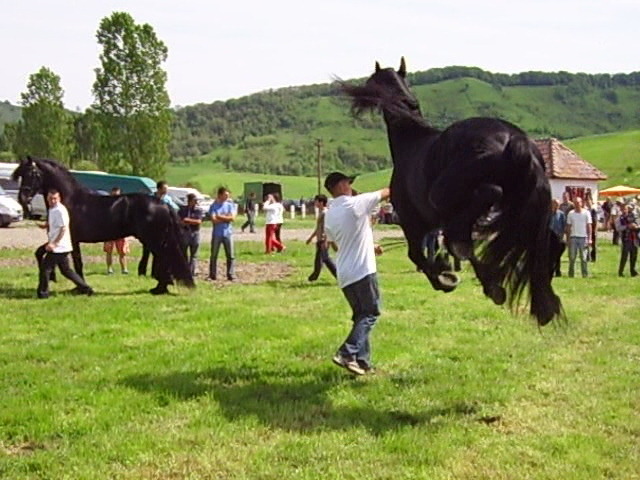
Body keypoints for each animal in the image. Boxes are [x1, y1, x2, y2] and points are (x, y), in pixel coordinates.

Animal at [12, 156, 192, 294]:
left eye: (32, 173)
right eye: (21, 175)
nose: (22, 198)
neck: (71, 200)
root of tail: (163, 204)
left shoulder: (73, 239)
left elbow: (77, 263)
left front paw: (80, 287)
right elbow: (40, 252)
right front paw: (54, 278)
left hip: (154, 240)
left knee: (165, 259)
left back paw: (160, 288)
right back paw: (161, 287)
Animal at [340, 58, 560, 324]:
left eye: (371, 81)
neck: (412, 142)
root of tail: (514, 138)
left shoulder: (413, 223)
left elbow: (418, 255)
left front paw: (445, 277)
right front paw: (485, 283)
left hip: (448, 196)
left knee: (487, 195)